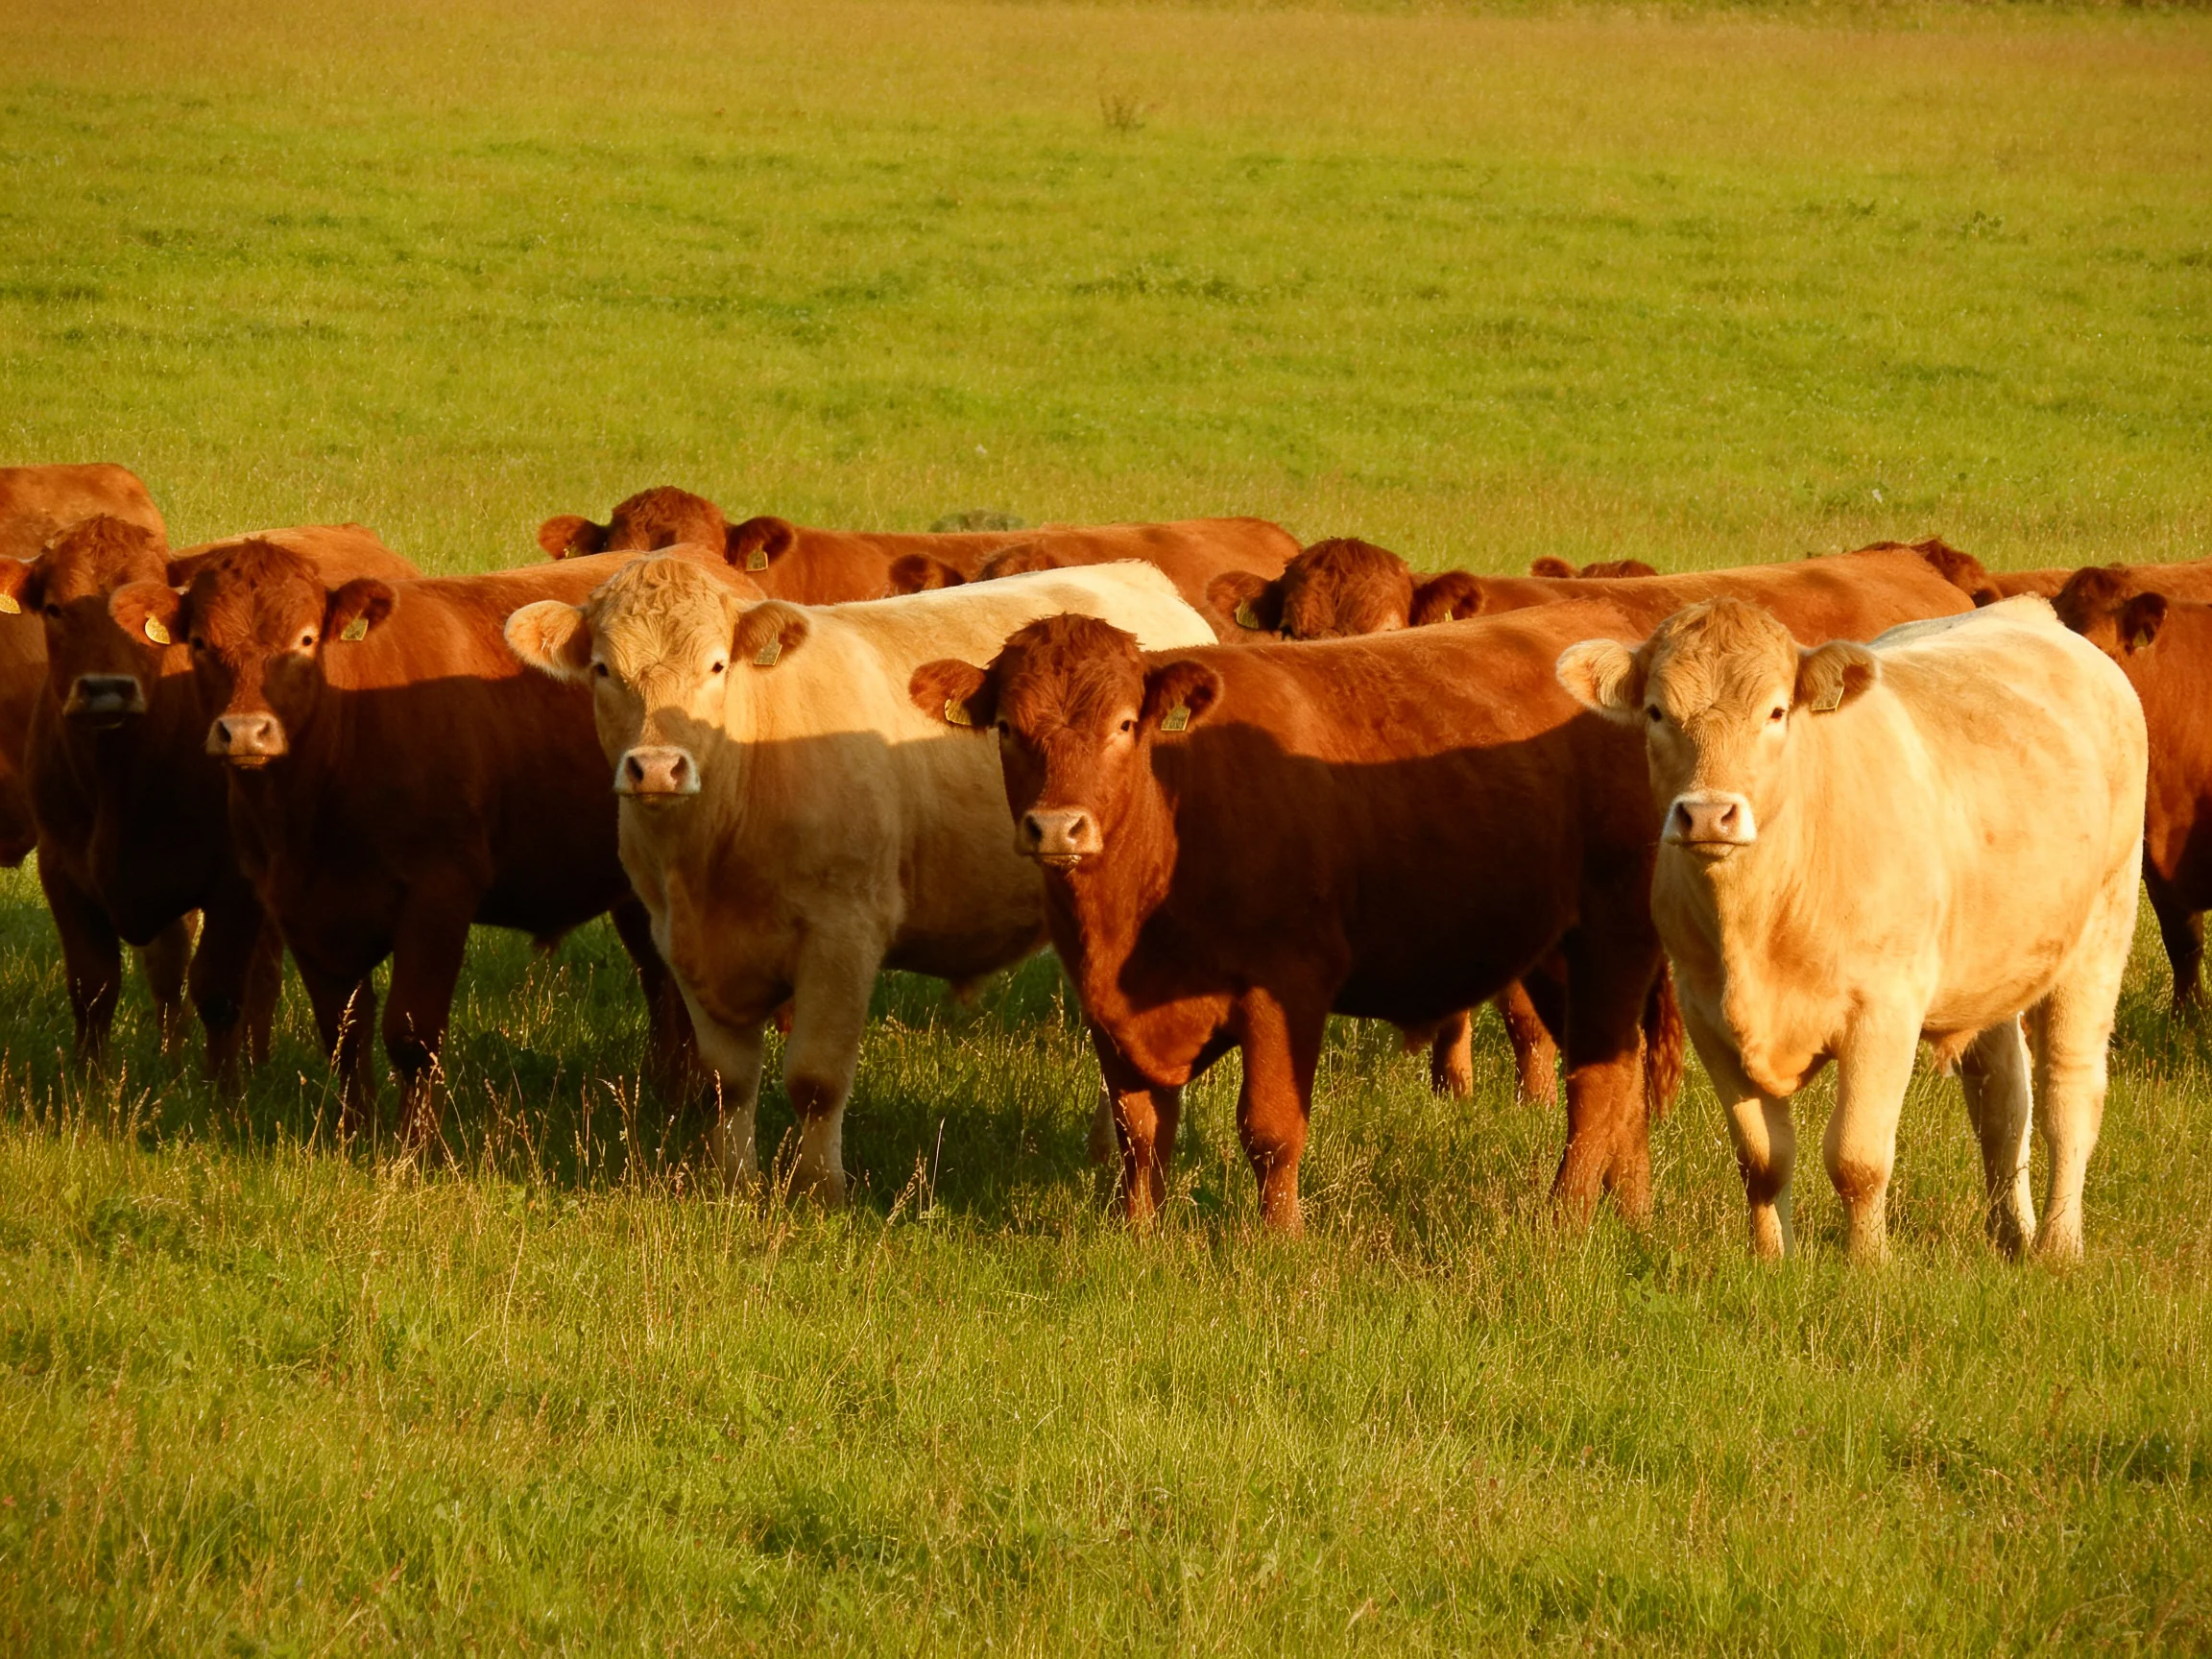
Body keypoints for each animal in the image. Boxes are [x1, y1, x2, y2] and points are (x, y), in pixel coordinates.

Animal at [2, 519, 417, 1074]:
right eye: (54, 608)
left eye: (141, 621)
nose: (107, 690)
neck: (117, 780)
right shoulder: (62, 869)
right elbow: (96, 987)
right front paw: (94, 1079)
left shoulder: (234, 883)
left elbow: (218, 991)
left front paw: (222, 1089)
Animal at [105, 542, 744, 1139]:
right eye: (200, 644)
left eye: (306, 640)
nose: (244, 731)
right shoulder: (298, 906)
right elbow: (344, 1032)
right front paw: (354, 1134)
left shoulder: (439, 894)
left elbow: (411, 1034)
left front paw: (415, 1148)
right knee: (663, 984)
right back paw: (669, 1097)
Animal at [503, 556, 1218, 1200]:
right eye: (604, 669)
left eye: (716, 665)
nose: (657, 767)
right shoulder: (680, 939)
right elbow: (726, 1080)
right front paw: (730, 1182)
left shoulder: (842, 932)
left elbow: (817, 1080)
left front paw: (822, 1189)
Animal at [908, 601, 1683, 1234]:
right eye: (1007, 727)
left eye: (1124, 724)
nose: (1057, 827)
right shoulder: (1107, 1008)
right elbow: (1139, 1129)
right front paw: (1136, 1236)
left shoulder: (1288, 985)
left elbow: (1270, 1129)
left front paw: (1281, 1241)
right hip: (1558, 951)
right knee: (1622, 1075)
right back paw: (1634, 1216)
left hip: (1616, 930)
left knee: (1598, 1084)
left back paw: (1564, 1220)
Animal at [1558, 597, 2143, 1262]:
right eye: (1657, 712)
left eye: (1776, 711)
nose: (1708, 813)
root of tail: (2029, 612)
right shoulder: (1705, 1012)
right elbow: (1762, 1159)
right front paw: (1773, 1261)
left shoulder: (1883, 1010)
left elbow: (1857, 1158)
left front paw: (1869, 1263)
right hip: (1991, 963)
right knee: (2002, 1101)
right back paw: (2009, 1234)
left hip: (2102, 926)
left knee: (2067, 1095)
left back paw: (2057, 1246)